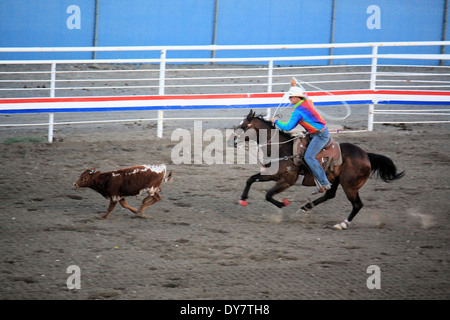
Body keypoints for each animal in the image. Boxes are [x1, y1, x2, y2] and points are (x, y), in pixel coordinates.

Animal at [229, 110, 404, 230]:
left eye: (243, 126)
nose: (232, 140)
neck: (283, 149)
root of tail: (366, 155)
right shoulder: (273, 175)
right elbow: (251, 179)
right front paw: (243, 198)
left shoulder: (287, 180)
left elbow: (268, 194)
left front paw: (283, 204)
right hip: (335, 180)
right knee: (330, 195)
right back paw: (304, 208)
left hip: (350, 186)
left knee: (357, 205)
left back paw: (342, 224)